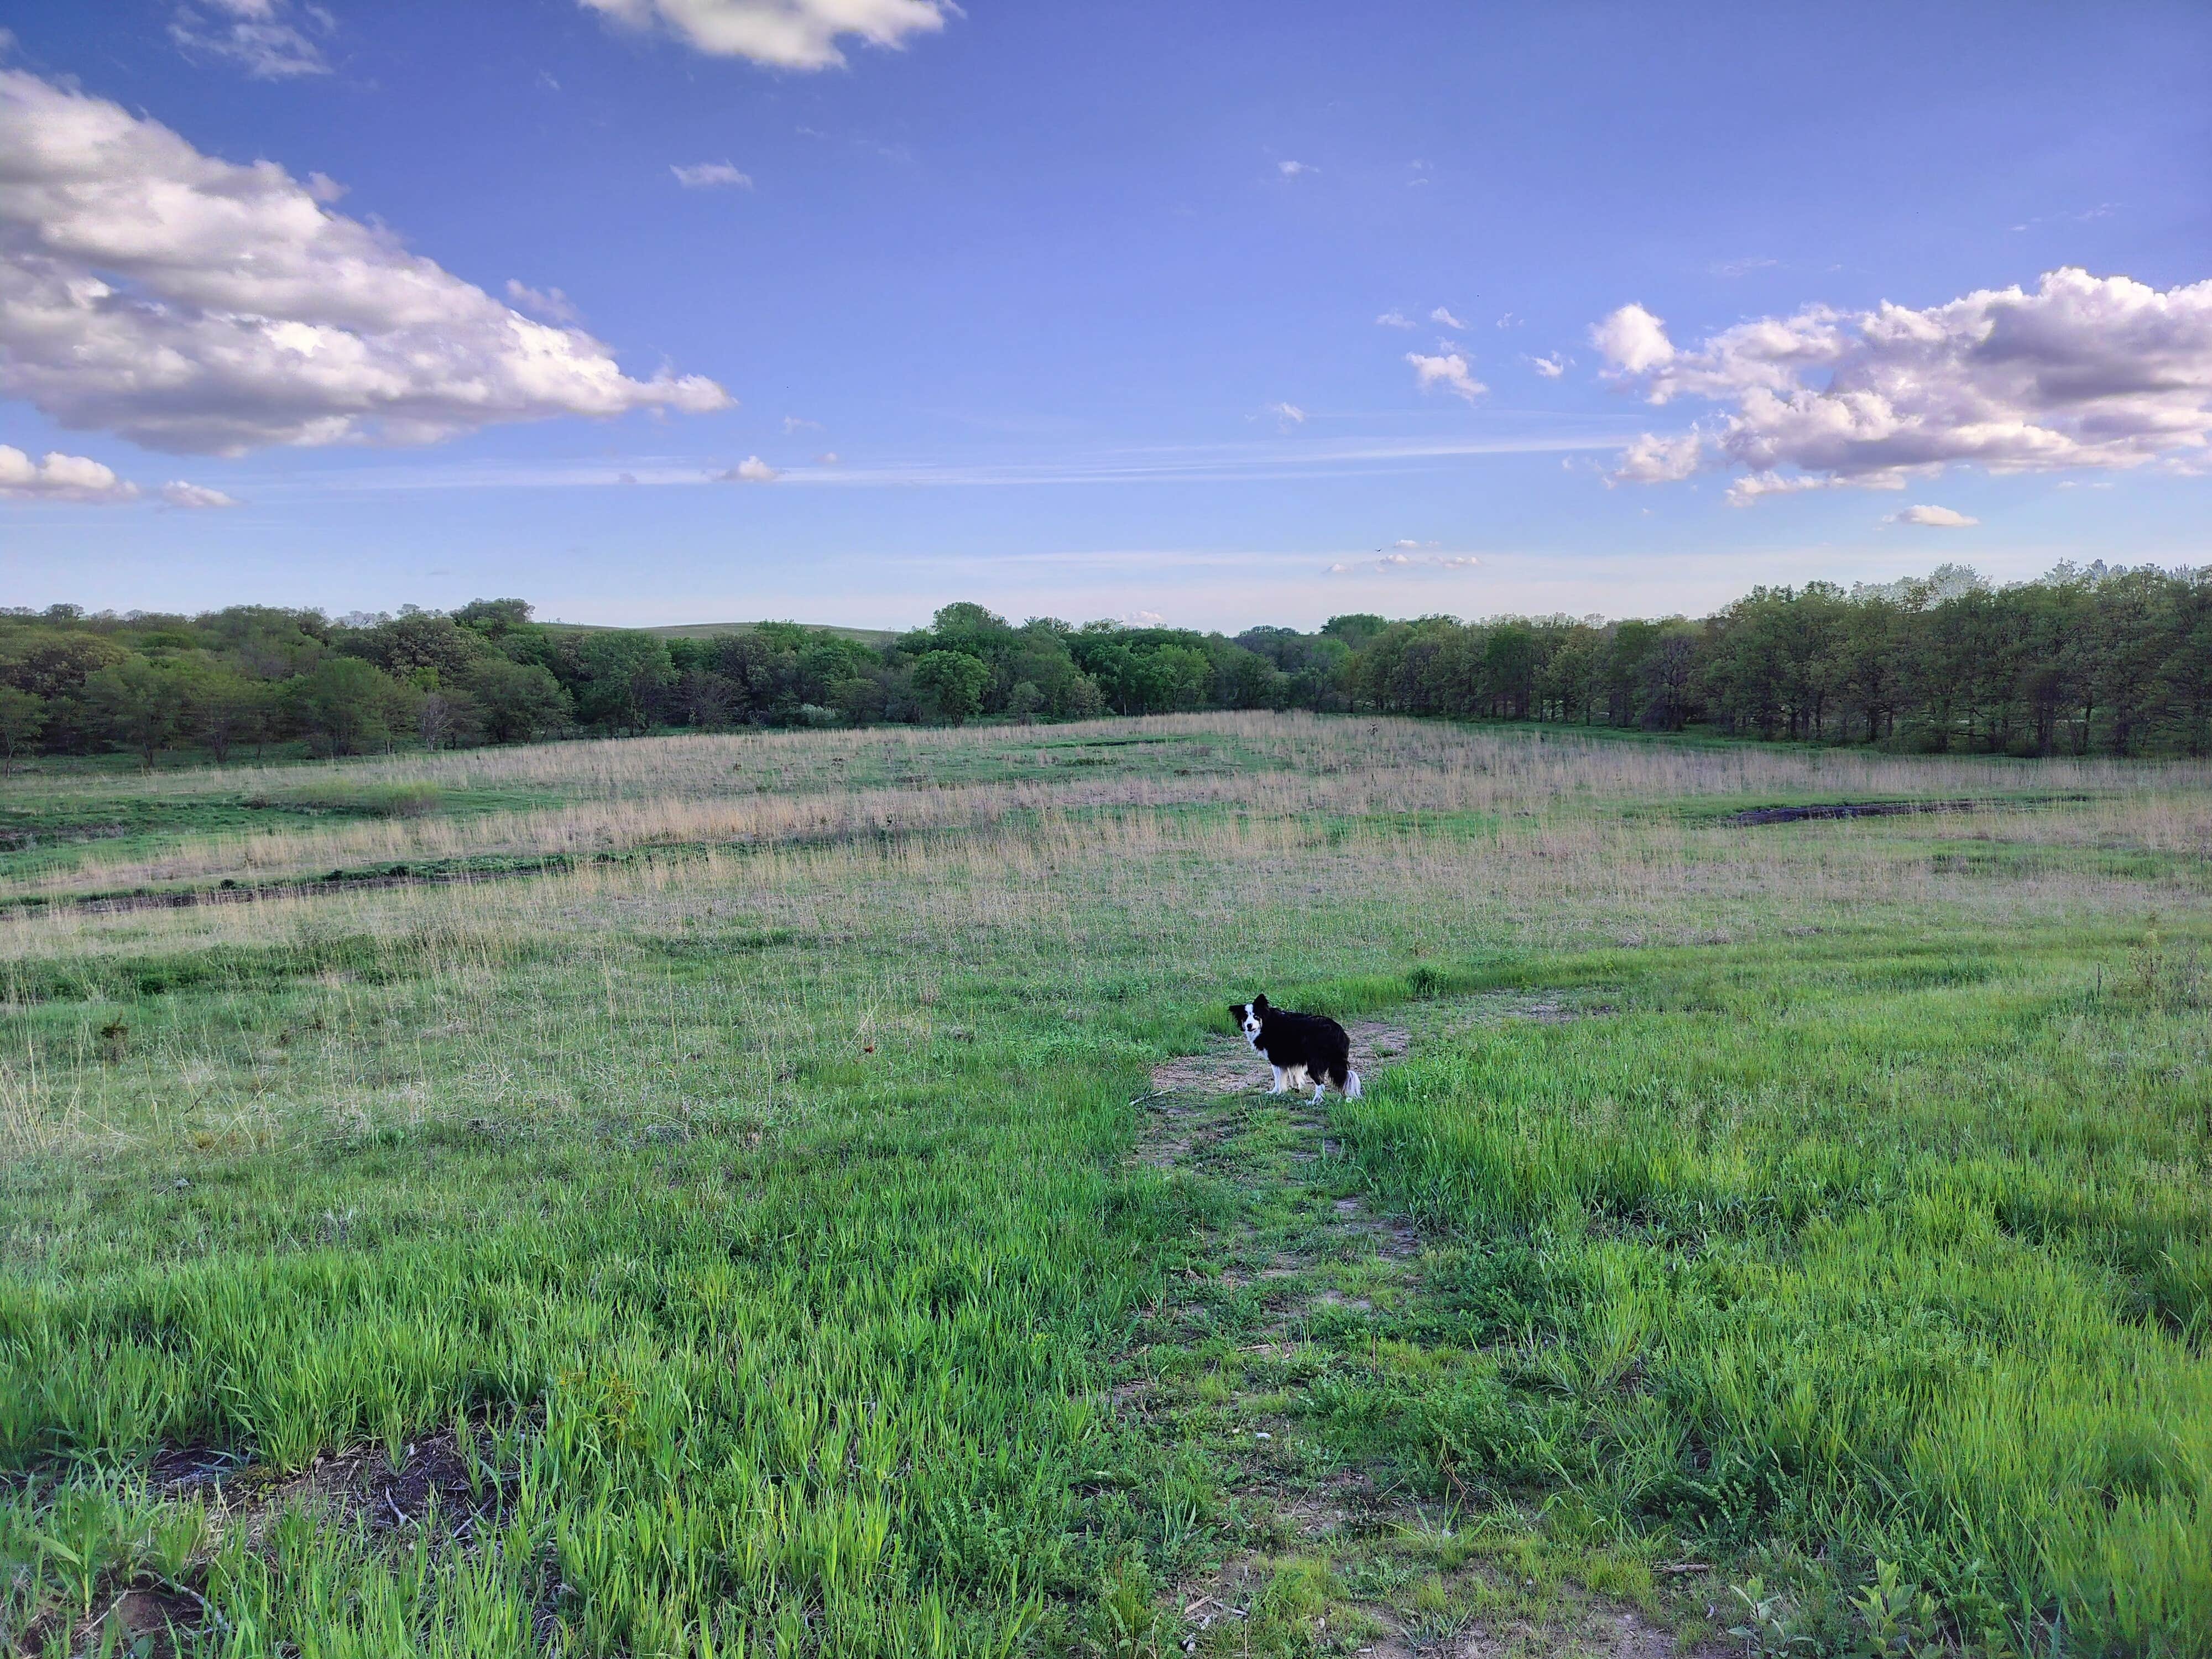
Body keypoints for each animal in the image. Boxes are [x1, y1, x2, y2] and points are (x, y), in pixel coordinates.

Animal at [1239, 1000, 1354, 1106]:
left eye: (1256, 1016)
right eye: (1245, 1018)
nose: (1249, 1026)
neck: (1267, 1022)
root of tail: (1337, 1030)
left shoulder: (1276, 1059)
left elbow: (1278, 1078)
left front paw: (1275, 1092)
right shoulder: (1291, 1058)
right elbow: (1293, 1074)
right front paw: (1295, 1088)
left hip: (1315, 1063)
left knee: (1321, 1084)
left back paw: (1314, 1102)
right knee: (1344, 1079)